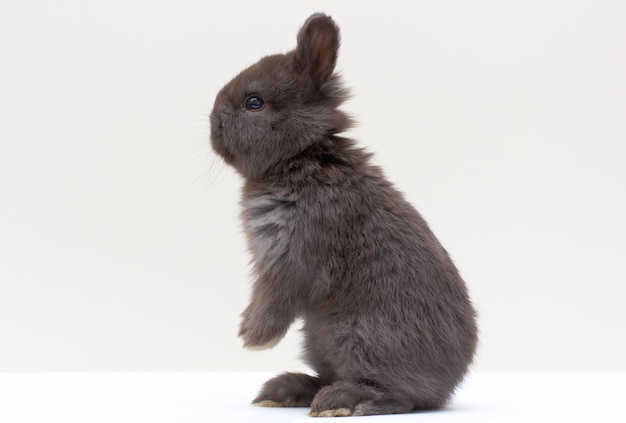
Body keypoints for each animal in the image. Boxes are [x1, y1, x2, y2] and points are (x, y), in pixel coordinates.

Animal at [207, 12, 476, 418]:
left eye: (254, 102)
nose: (212, 124)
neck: (300, 156)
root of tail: (446, 387)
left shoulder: (291, 257)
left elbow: (272, 299)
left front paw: (253, 339)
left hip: (360, 336)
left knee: (397, 395)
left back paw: (339, 402)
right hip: (321, 339)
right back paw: (284, 391)